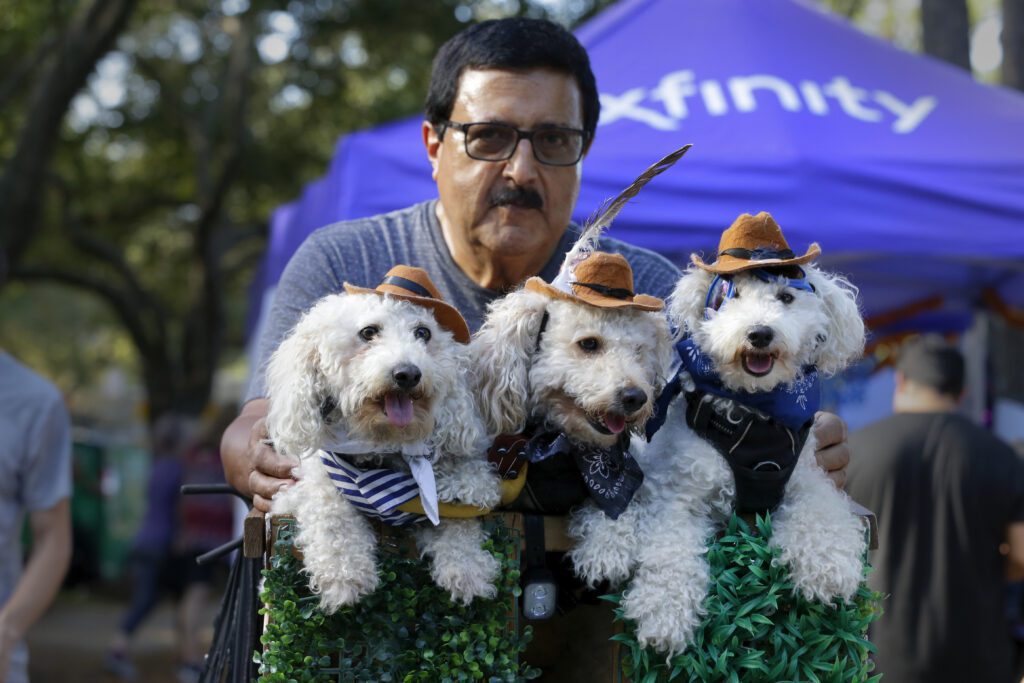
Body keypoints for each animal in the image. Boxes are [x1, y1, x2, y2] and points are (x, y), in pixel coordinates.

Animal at [264, 266, 503, 614]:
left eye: (423, 333)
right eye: (368, 332)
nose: (408, 373)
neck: (382, 443)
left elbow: (458, 519)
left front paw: (468, 565)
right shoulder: (313, 485)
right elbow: (330, 513)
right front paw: (344, 574)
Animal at [618, 214, 868, 655]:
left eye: (786, 297)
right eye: (730, 298)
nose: (760, 333)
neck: (752, 418)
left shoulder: (805, 480)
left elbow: (822, 513)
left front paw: (828, 569)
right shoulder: (677, 497)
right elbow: (669, 552)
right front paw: (663, 614)